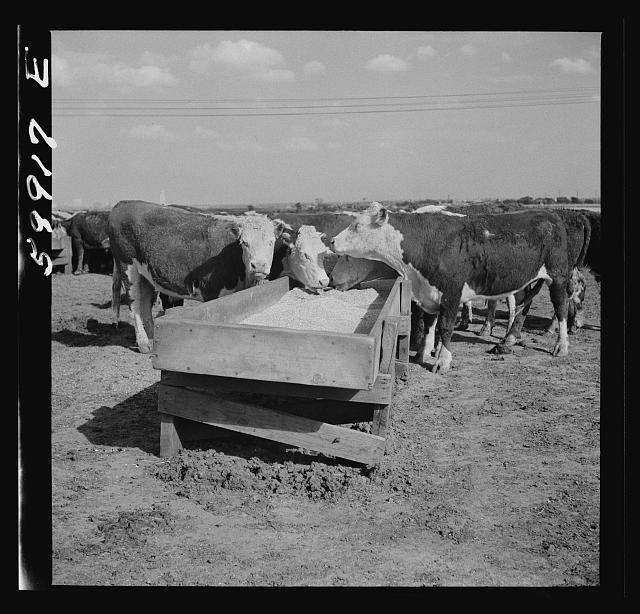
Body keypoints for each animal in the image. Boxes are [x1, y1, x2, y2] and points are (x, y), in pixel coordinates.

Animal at [109, 200, 286, 353]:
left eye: (271, 242)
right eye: (244, 243)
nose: (259, 265)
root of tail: (123, 203)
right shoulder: (212, 290)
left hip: (146, 275)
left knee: (145, 304)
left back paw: (153, 339)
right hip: (128, 268)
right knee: (135, 306)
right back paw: (144, 344)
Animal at [330, 202, 571, 373]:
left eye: (357, 226)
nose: (332, 241)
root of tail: (550, 216)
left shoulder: (451, 294)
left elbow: (445, 327)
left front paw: (442, 361)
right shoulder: (429, 294)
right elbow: (429, 326)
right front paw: (422, 354)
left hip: (558, 277)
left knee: (561, 309)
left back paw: (561, 346)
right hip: (526, 279)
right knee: (523, 304)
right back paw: (508, 341)